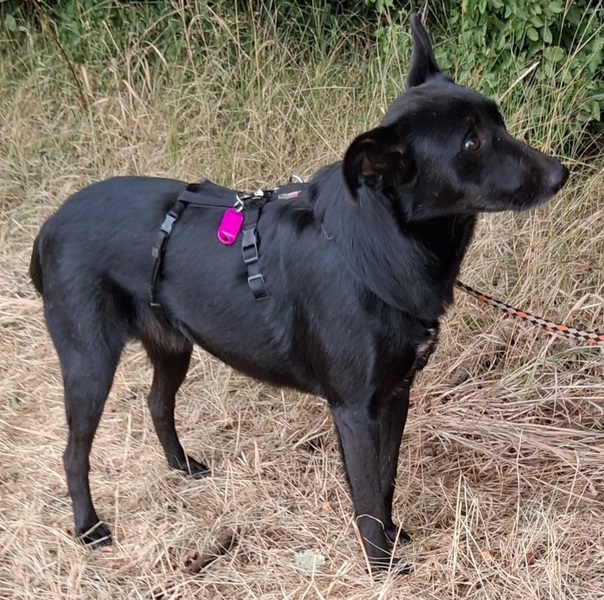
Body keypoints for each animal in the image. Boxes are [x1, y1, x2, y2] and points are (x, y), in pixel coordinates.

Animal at [29, 14, 568, 572]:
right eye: (469, 144)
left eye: (497, 122)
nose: (561, 173)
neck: (377, 246)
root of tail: (50, 225)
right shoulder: (354, 410)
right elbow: (367, 494)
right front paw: (380, 565)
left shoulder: (395, 395)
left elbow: (385, 480)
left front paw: (392, 537)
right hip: (89, 361)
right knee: (74, 452)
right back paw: (88, 527)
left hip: (172, 344)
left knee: (158, 403)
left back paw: (181, 467)